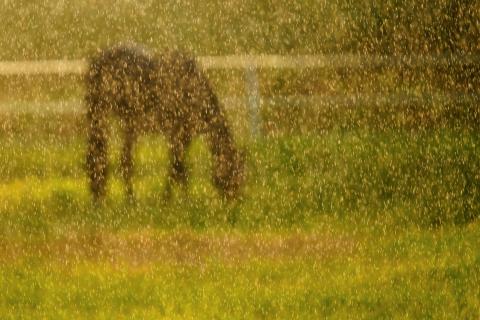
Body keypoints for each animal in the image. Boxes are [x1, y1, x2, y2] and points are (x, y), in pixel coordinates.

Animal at [84, 43, 246, 201]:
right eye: (232, 173)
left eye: (240, 176)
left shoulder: (185, 137)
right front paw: (176, 200)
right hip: (101, 116)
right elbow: (178, 168)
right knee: (102, 158)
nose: (232, 203)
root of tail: (98, 59)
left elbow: (177, 168)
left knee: (120, 161)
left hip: (128, 125)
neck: (190, 91)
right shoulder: (176, 135)